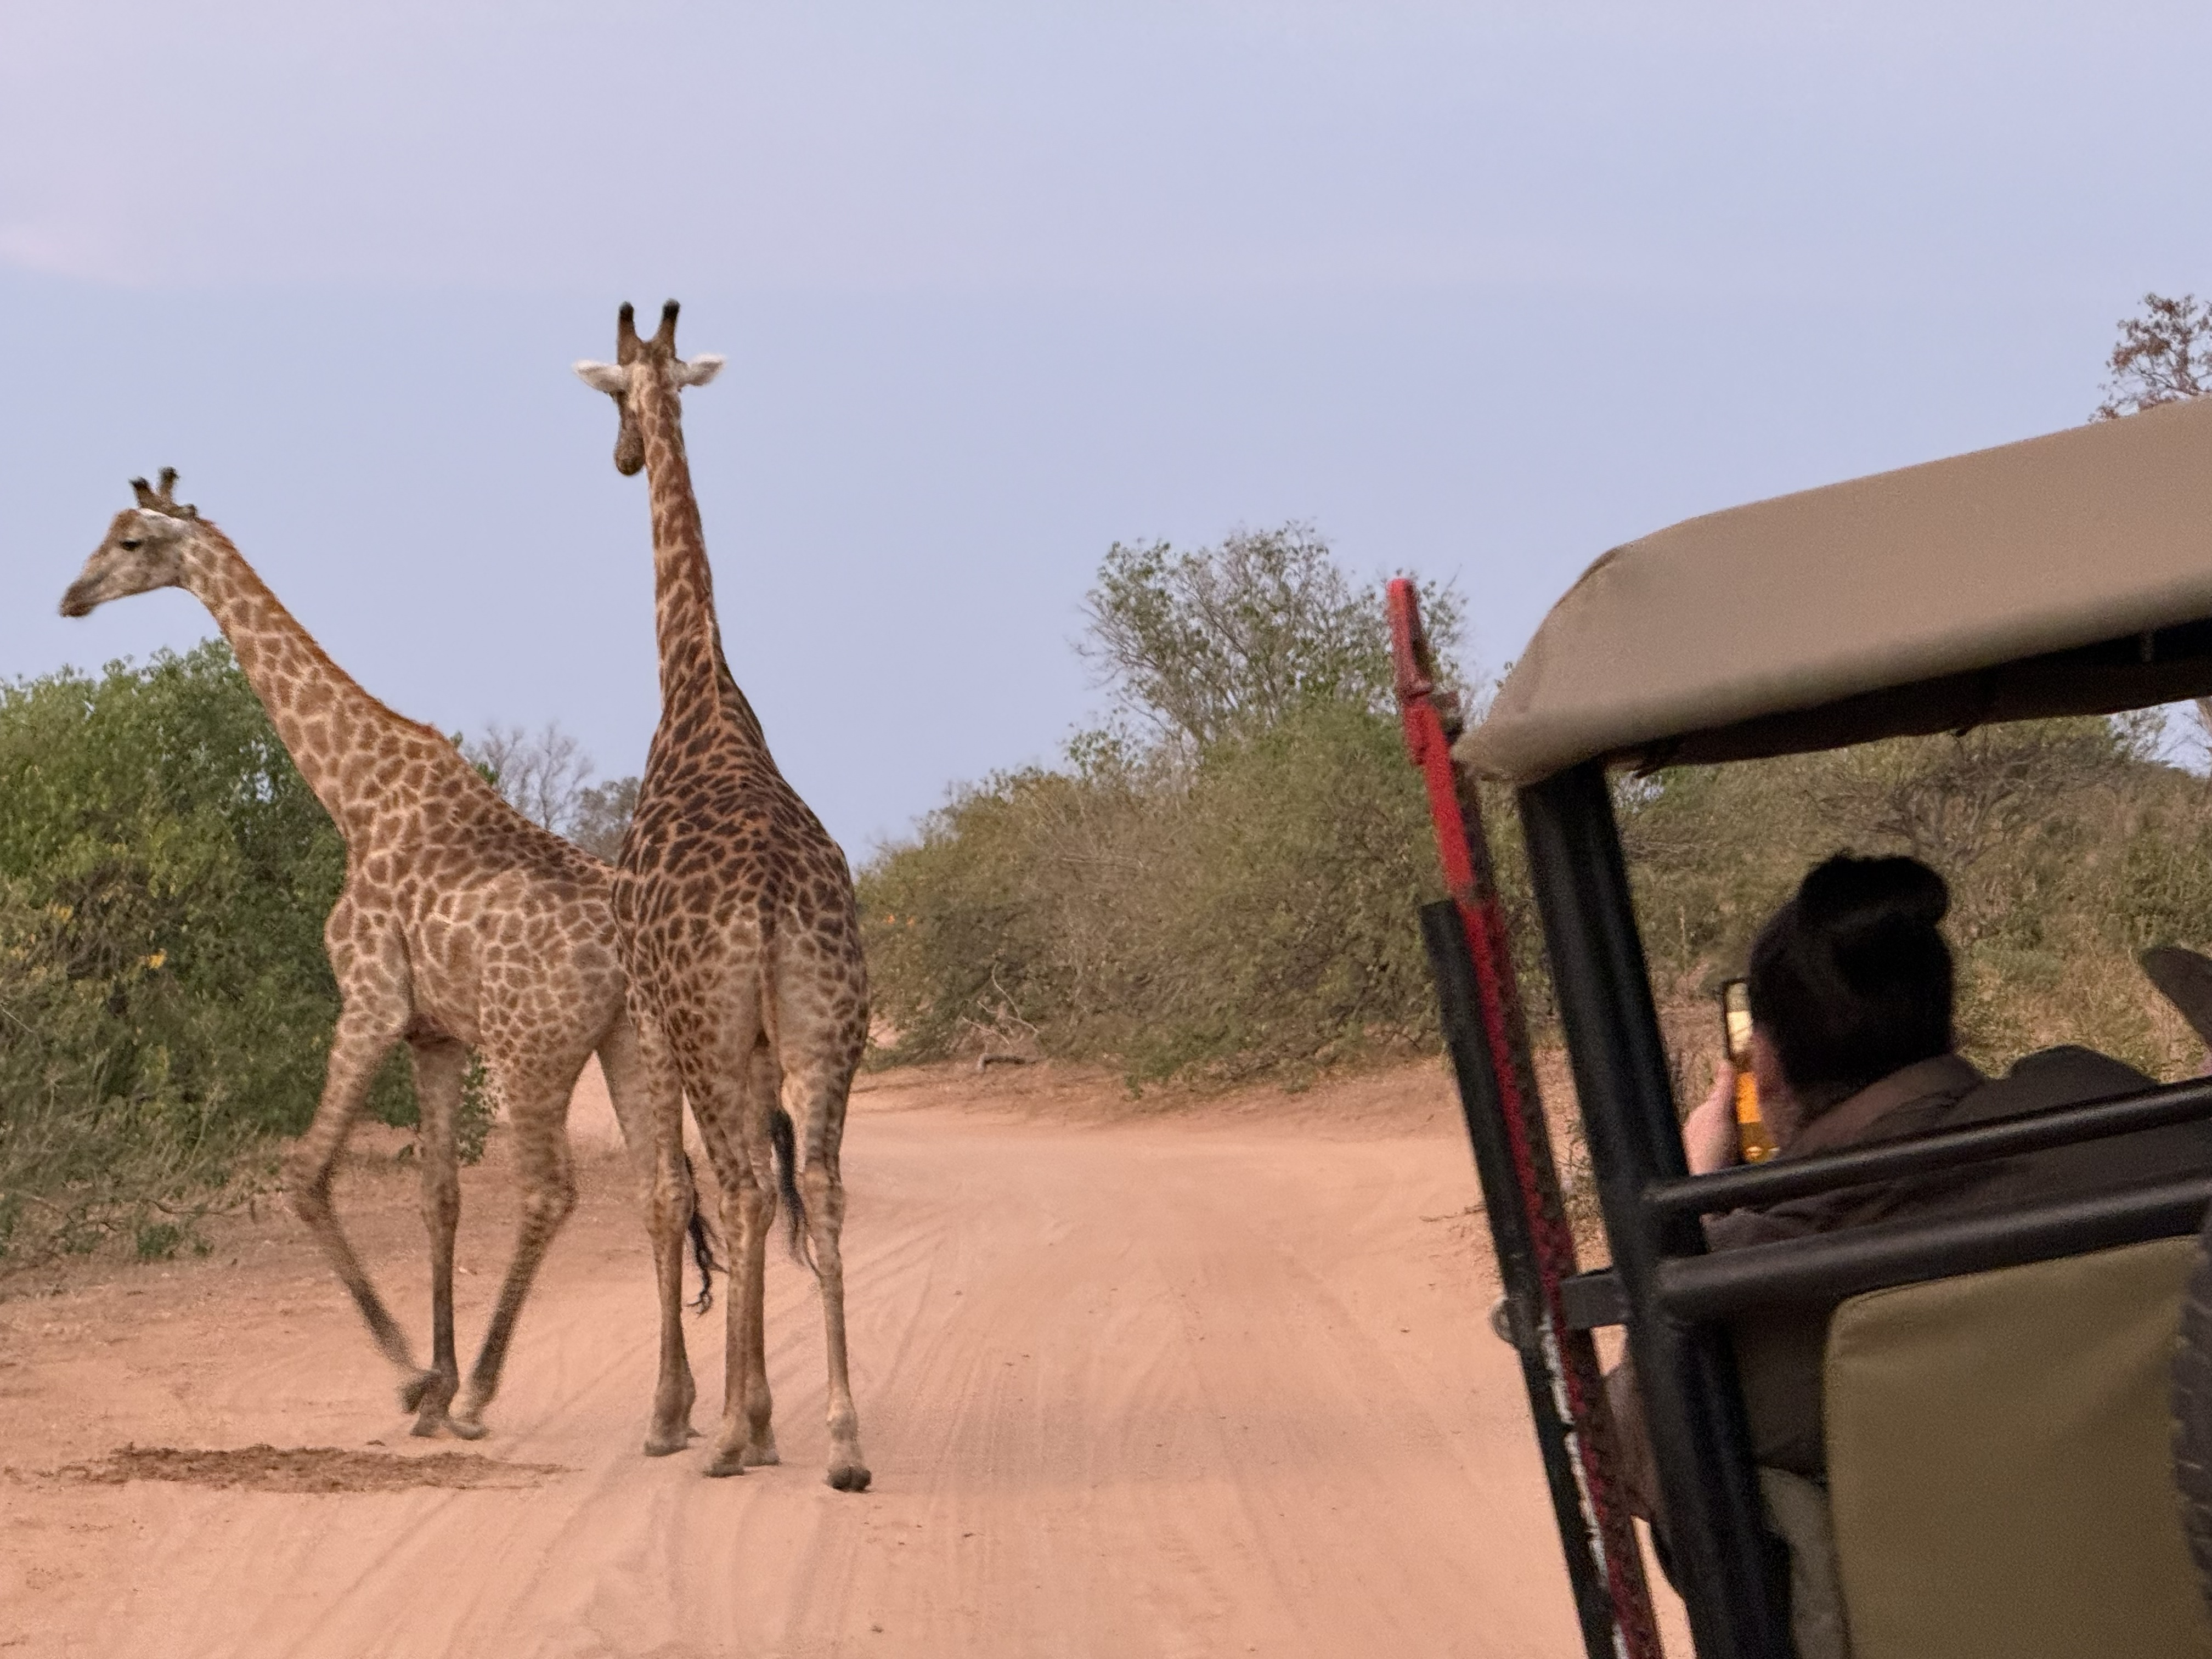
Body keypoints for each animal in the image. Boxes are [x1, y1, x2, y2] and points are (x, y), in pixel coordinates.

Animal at [59, 470, 702, 1452]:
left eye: (131, 543)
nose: (73, 597)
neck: (353, 796)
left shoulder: (369, 1000)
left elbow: (304, 1176)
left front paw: (414, 1380)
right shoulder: (436, 1034)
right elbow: (439, 1197)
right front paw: (433, 1384)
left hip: (534, 1049)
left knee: (550, 1192)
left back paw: (488, 1397)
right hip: (632, 1041)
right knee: (661, 1188)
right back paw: (671, 1411)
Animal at [575, 302, 873, 1490]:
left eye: (613, 398)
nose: (622, 455)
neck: (696, 684)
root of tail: (772, 899)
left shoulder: (660, 1017)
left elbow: (668, 1193)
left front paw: (684, 1413)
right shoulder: (752, 1036)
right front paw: (770, 1415)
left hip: (708, 1025)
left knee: (744, 1181)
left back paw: (736, 1435)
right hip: (830, 1025)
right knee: (821, 1185)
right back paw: (842, 1439)